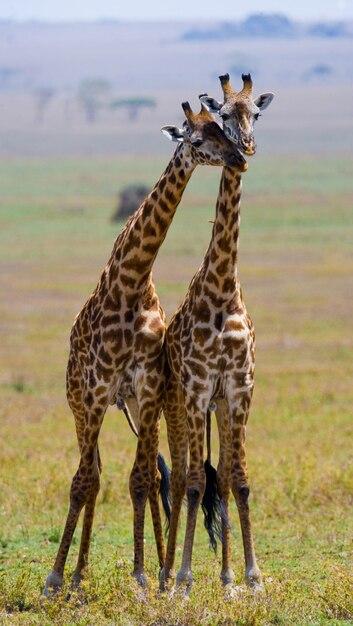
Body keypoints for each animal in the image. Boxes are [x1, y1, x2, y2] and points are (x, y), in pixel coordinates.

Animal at [43, 101, 248, 596]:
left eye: (223, 130)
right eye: (198, 139)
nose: (237, 157)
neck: (131, 282)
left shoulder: (148, 386)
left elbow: (140, 480)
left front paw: (142, 573)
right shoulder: (97, 389)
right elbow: (82, 482)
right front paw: (55, 578)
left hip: (137, 404)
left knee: (145, 476)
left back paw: (144, 568)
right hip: (80, 403)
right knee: (92, 475)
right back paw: (75, 574)